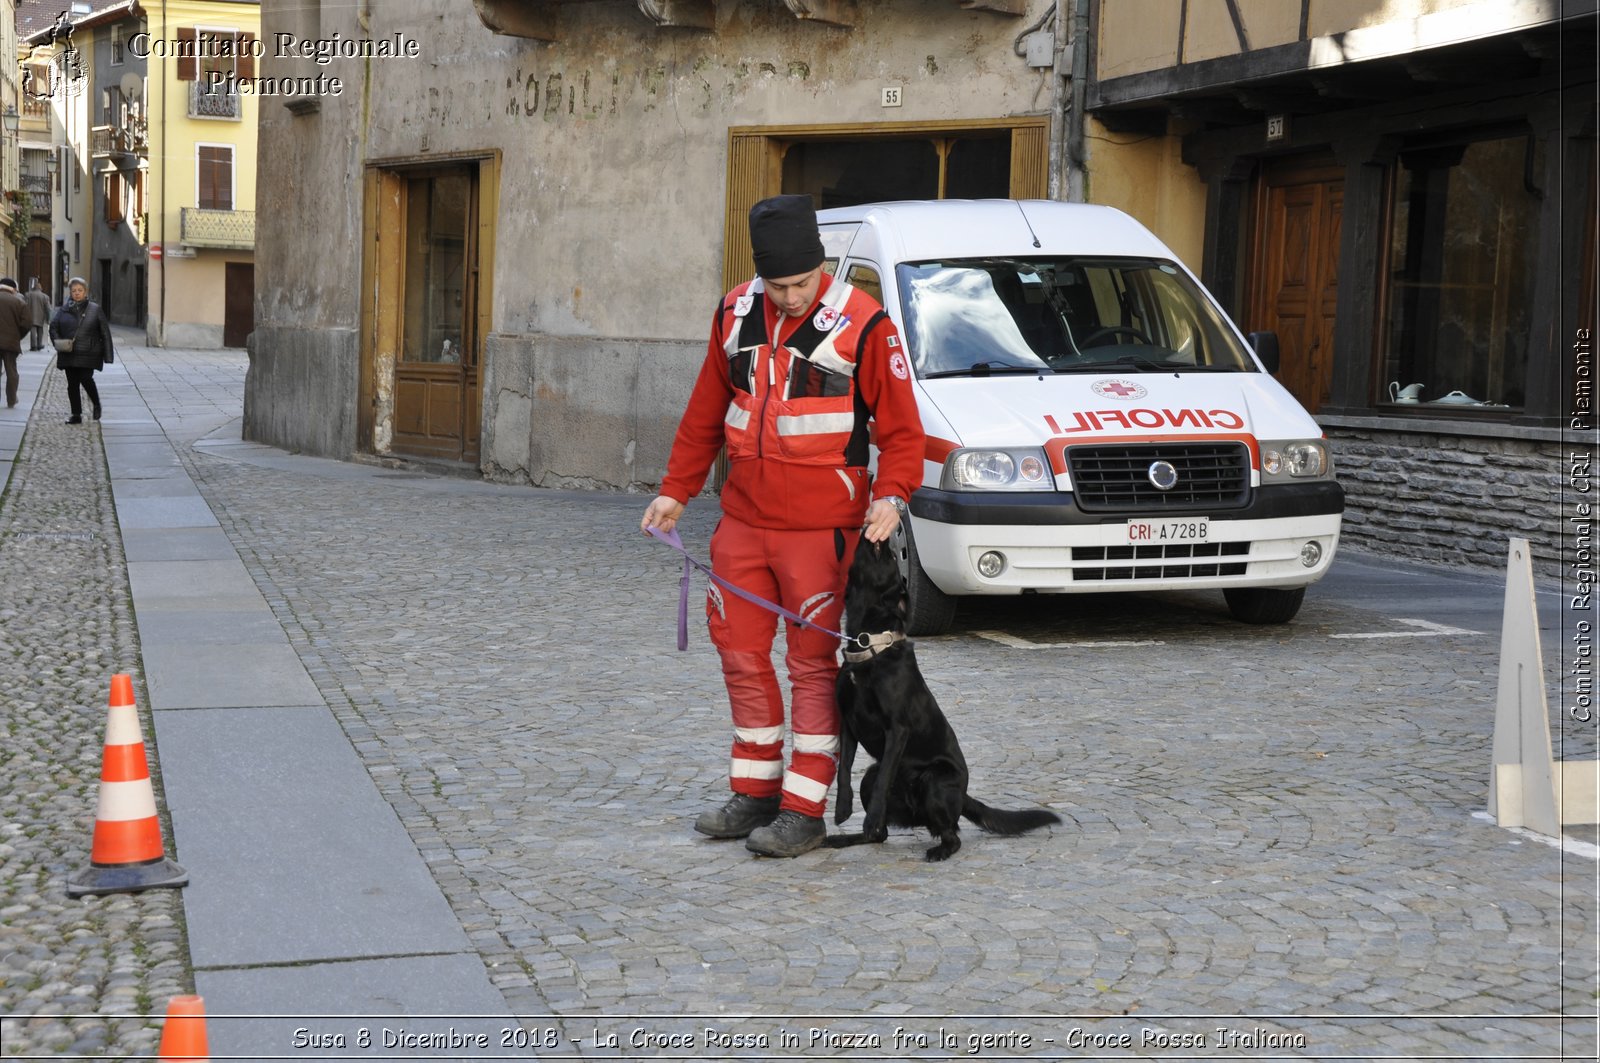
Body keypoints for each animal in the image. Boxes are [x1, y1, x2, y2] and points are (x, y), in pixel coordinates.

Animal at [825, 534, 1062, 858]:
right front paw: (841, 810)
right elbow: (844, 769)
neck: (869, 644)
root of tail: (964, 797)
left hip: (935, 781)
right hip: (870, 777)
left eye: (891, 558)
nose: (885, 539)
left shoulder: (897, 728)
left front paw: (868, 816)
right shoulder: (848, 722)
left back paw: (937, 850)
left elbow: (884, 776)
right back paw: (845, 838)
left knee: (951, 835)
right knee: (881, 833)